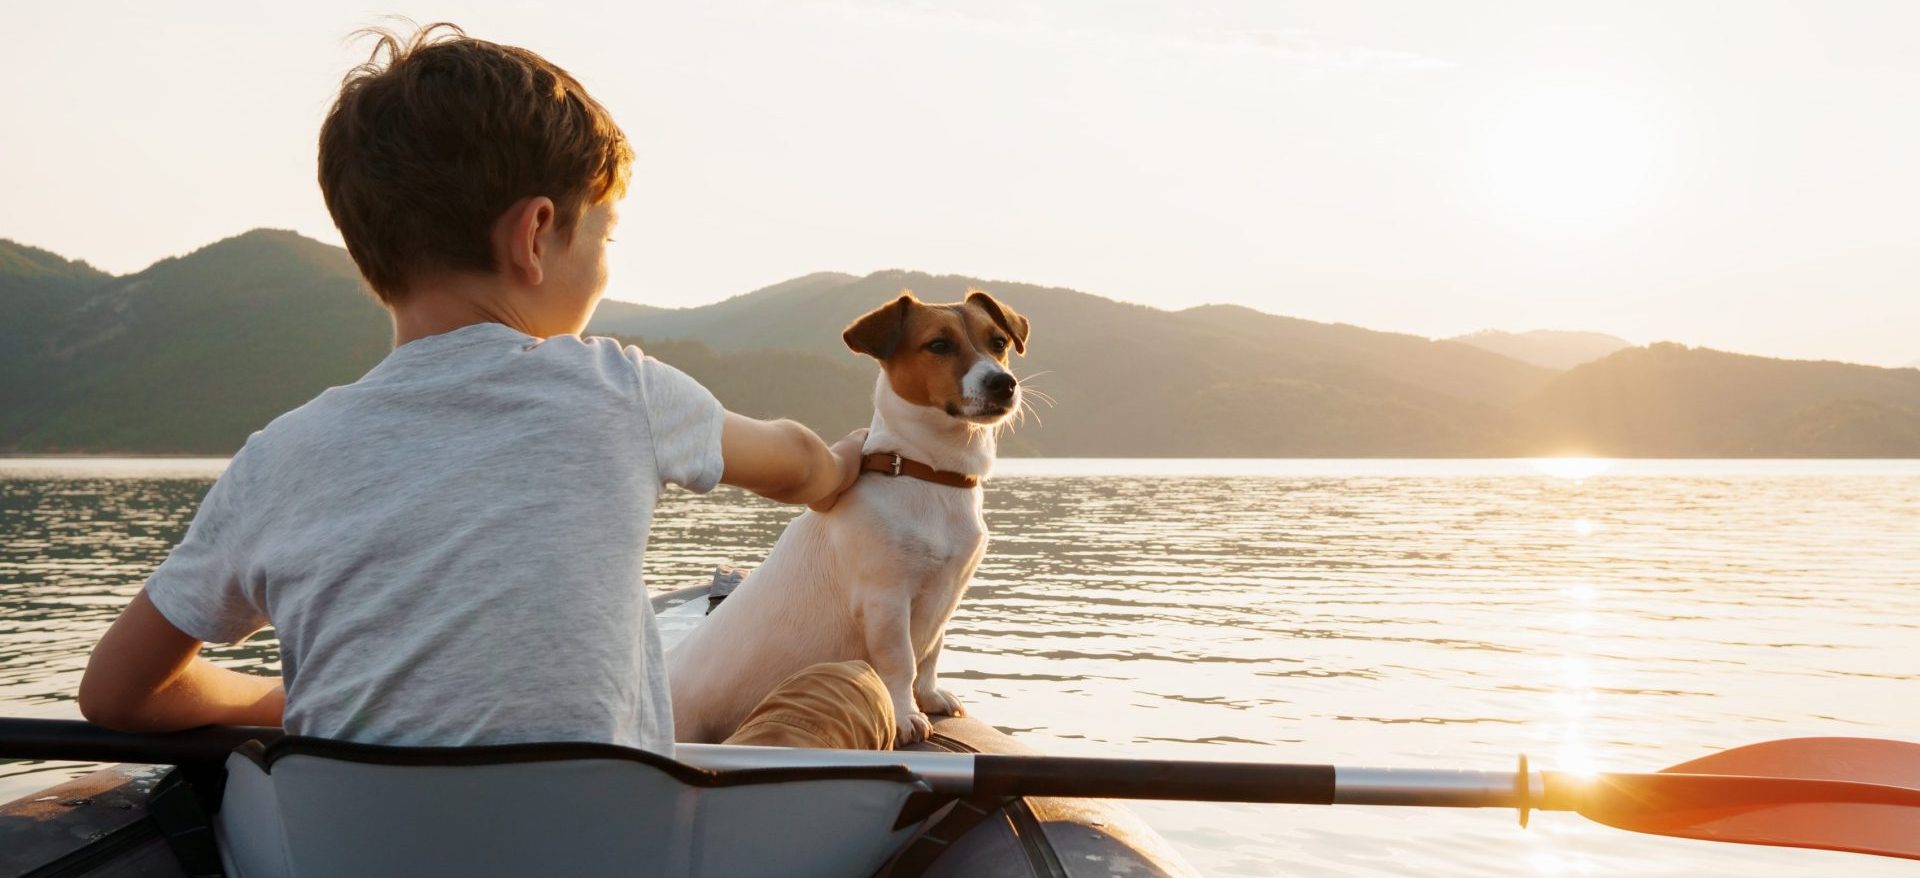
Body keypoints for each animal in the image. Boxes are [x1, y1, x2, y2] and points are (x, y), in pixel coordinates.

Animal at [675, 290, 1036, 741]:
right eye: (938, 345)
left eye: (998, 342)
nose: (1003, 384)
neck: (928, 472)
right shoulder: (886, 600)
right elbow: (901, 662)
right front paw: (905, 714)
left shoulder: (948, 593)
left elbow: (931, 655)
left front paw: (929, 697)